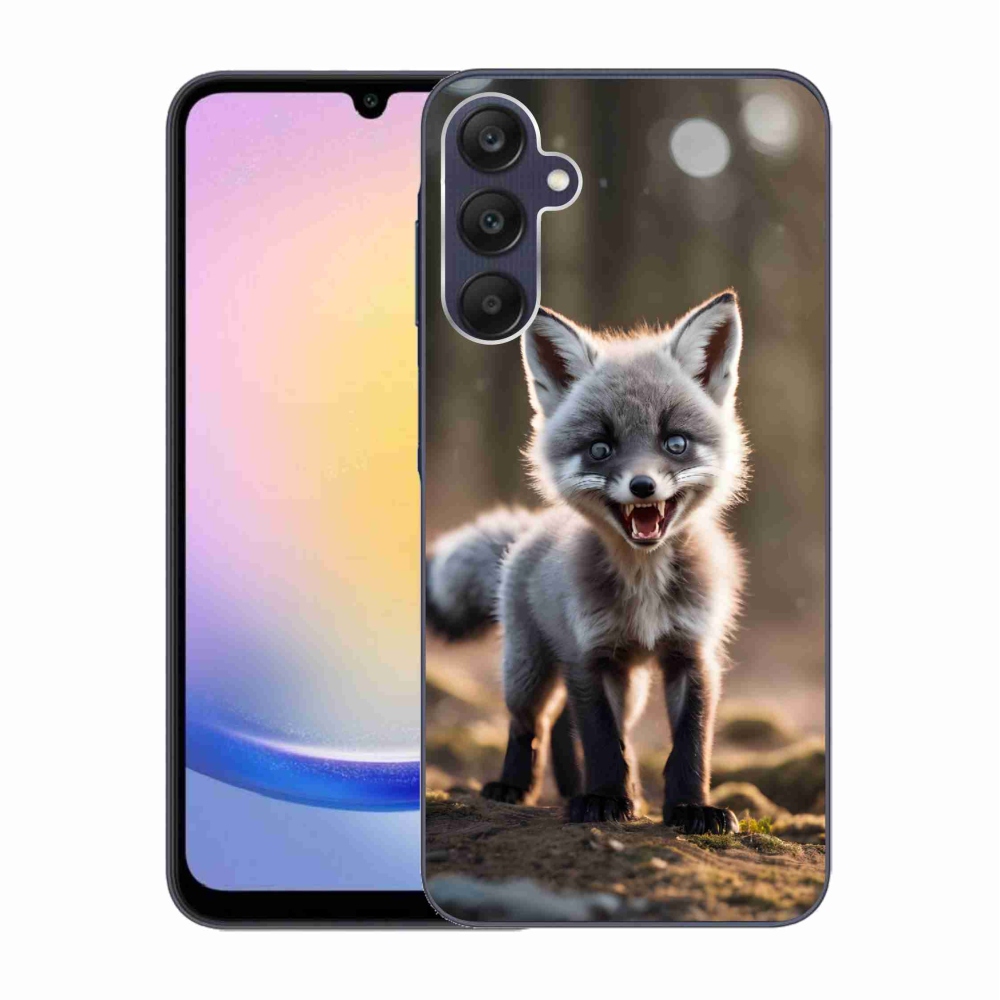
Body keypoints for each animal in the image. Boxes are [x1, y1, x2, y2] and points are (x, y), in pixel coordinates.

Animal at [427, 291, 748, 835]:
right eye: (600, 448)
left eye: (675, 443)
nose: (642, 486)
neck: (644, 586)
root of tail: (530, 531)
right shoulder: (589, 655)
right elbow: (601, 741)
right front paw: (603, 799)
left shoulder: (692, 653)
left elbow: (690, 746)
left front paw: (690, 808)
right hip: (529, 670)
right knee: (531, 723)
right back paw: (514, 786)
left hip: (628, 682)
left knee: (565, 725)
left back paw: (580, 786)